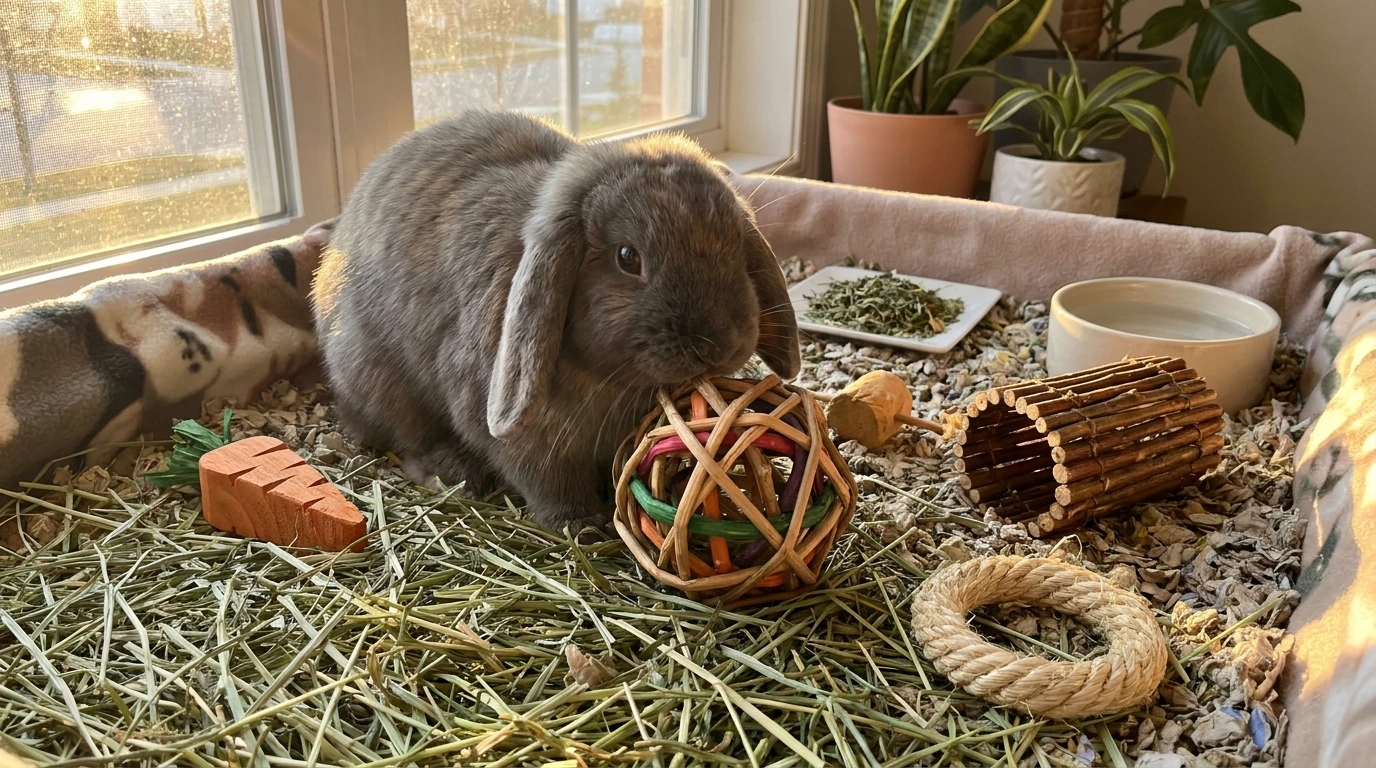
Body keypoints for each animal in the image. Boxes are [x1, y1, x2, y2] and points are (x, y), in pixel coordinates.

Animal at [312, 110, 800, 533]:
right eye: (628, 257)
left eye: (737, 249)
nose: (717, 347)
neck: (610, 378)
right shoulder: (529, 442)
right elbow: (546, 480)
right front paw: (581, 524)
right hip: (380, 380)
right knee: (409, 437)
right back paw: (454, 472)